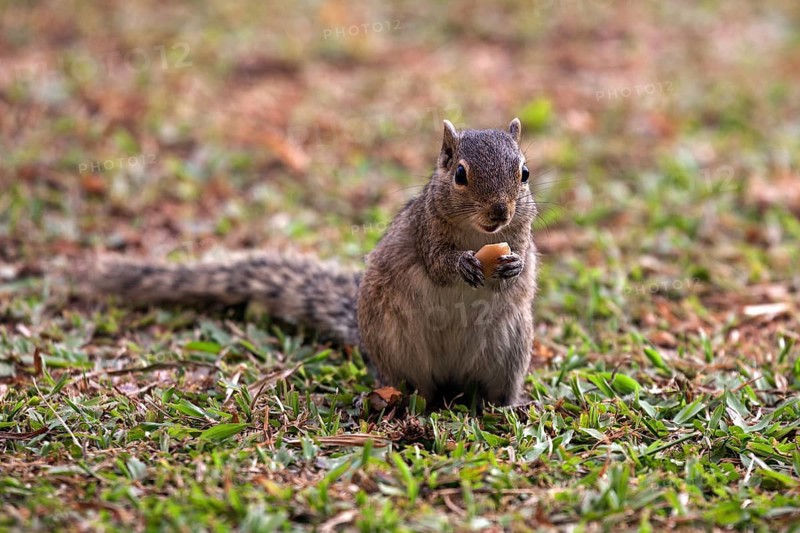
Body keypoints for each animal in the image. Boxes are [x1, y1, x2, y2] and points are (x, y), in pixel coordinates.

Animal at [84, 118, 538, 407]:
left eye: (525, 173)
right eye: (460, 174)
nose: (499, 211)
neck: (481, 236)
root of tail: (451, 383)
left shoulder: (520, 236)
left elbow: (524, 265)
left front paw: (512, 269)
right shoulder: (426, 232)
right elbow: (437, 264)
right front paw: (463, 266)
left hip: (510, 349)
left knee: (494, 391)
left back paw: (508, 406)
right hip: (396, 348)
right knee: (415, 388)